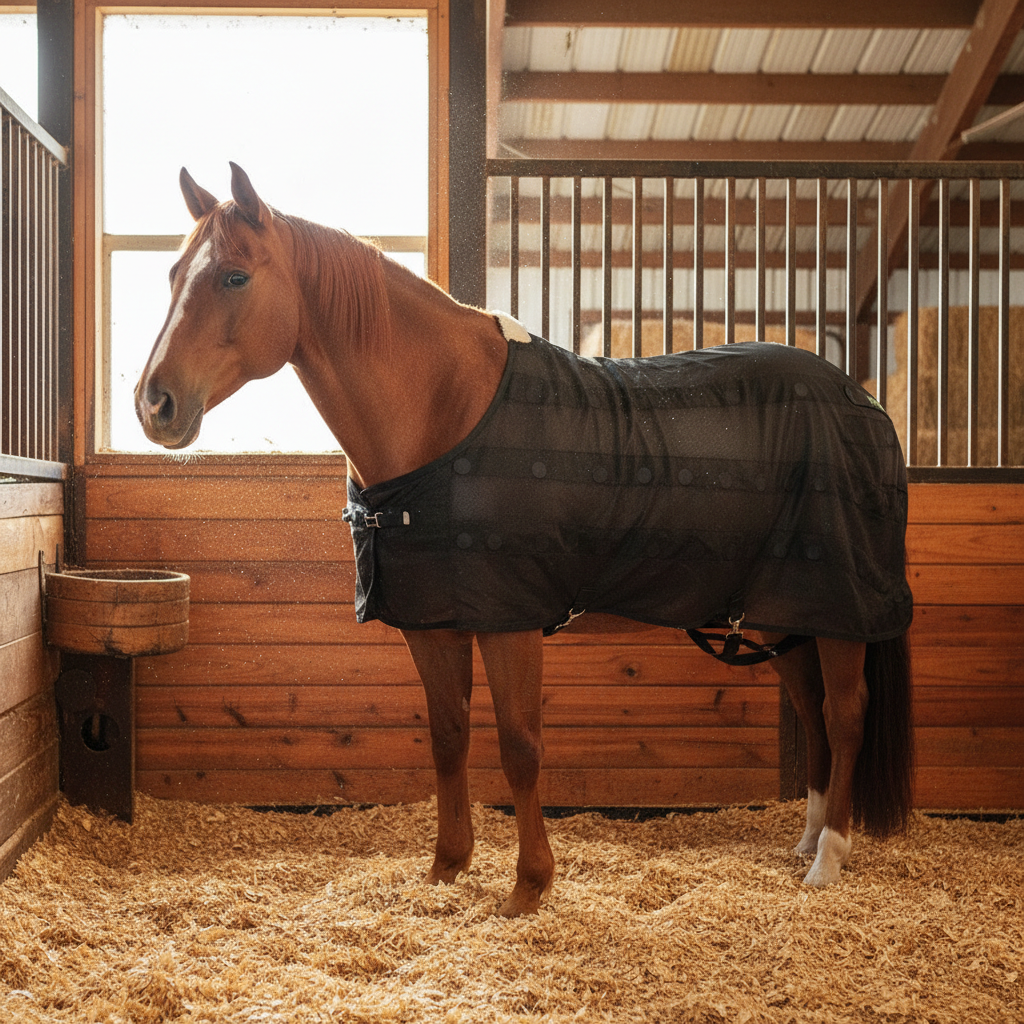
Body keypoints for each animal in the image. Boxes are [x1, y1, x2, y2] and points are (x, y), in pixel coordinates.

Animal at [136, 163, 914, 918]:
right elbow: (449, 737)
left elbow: (519, 747)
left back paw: (827, 861)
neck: (444, 411)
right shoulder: (435, 623)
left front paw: (529, 885)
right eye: (171, 274)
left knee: (845, 715)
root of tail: (864, 400)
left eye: (234, 277)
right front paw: (446, 868)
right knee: (813, 712)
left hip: (837, 610)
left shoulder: (508, 622)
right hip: (789, 614)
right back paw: (806, 840)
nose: (154, 404)